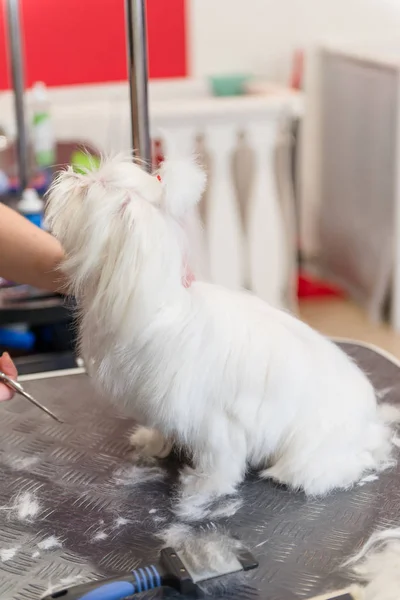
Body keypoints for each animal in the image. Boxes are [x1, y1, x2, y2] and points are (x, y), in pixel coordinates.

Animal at [46, 156, 396, 520]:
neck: (154, 300)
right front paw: (153, 443)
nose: (67, 175)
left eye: (90, 189)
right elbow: (163, 428)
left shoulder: (215, 423)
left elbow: (220, 463)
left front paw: (201, 488)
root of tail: (369, 422)